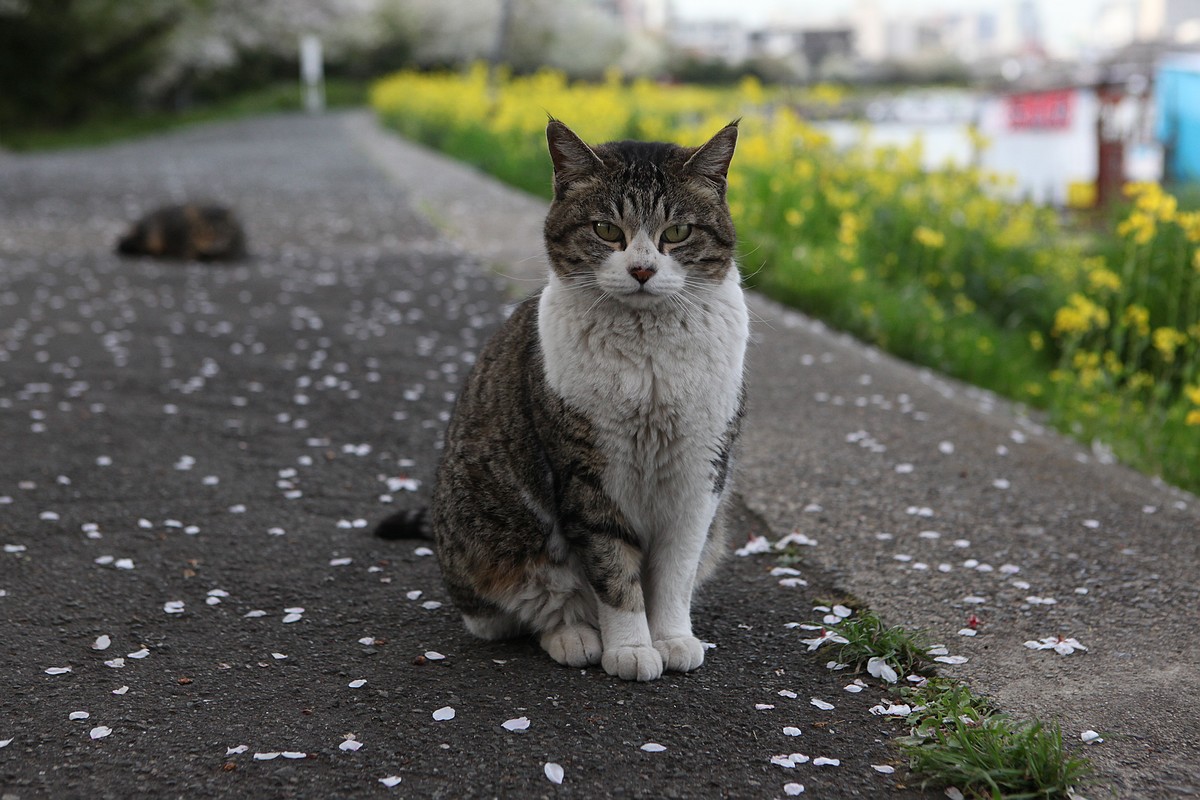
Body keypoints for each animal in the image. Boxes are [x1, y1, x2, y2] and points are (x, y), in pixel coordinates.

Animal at [379, 118, 744, 681]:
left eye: (677, 233)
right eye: (607, 231)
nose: (642, 270)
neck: (649, 359)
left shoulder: (700, 476)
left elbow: (676, 571)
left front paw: (671, 638)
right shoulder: (587, 476)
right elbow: (613, 572)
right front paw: (631, 648)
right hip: (494, 540)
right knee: (521, 608)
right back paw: (573, 634)